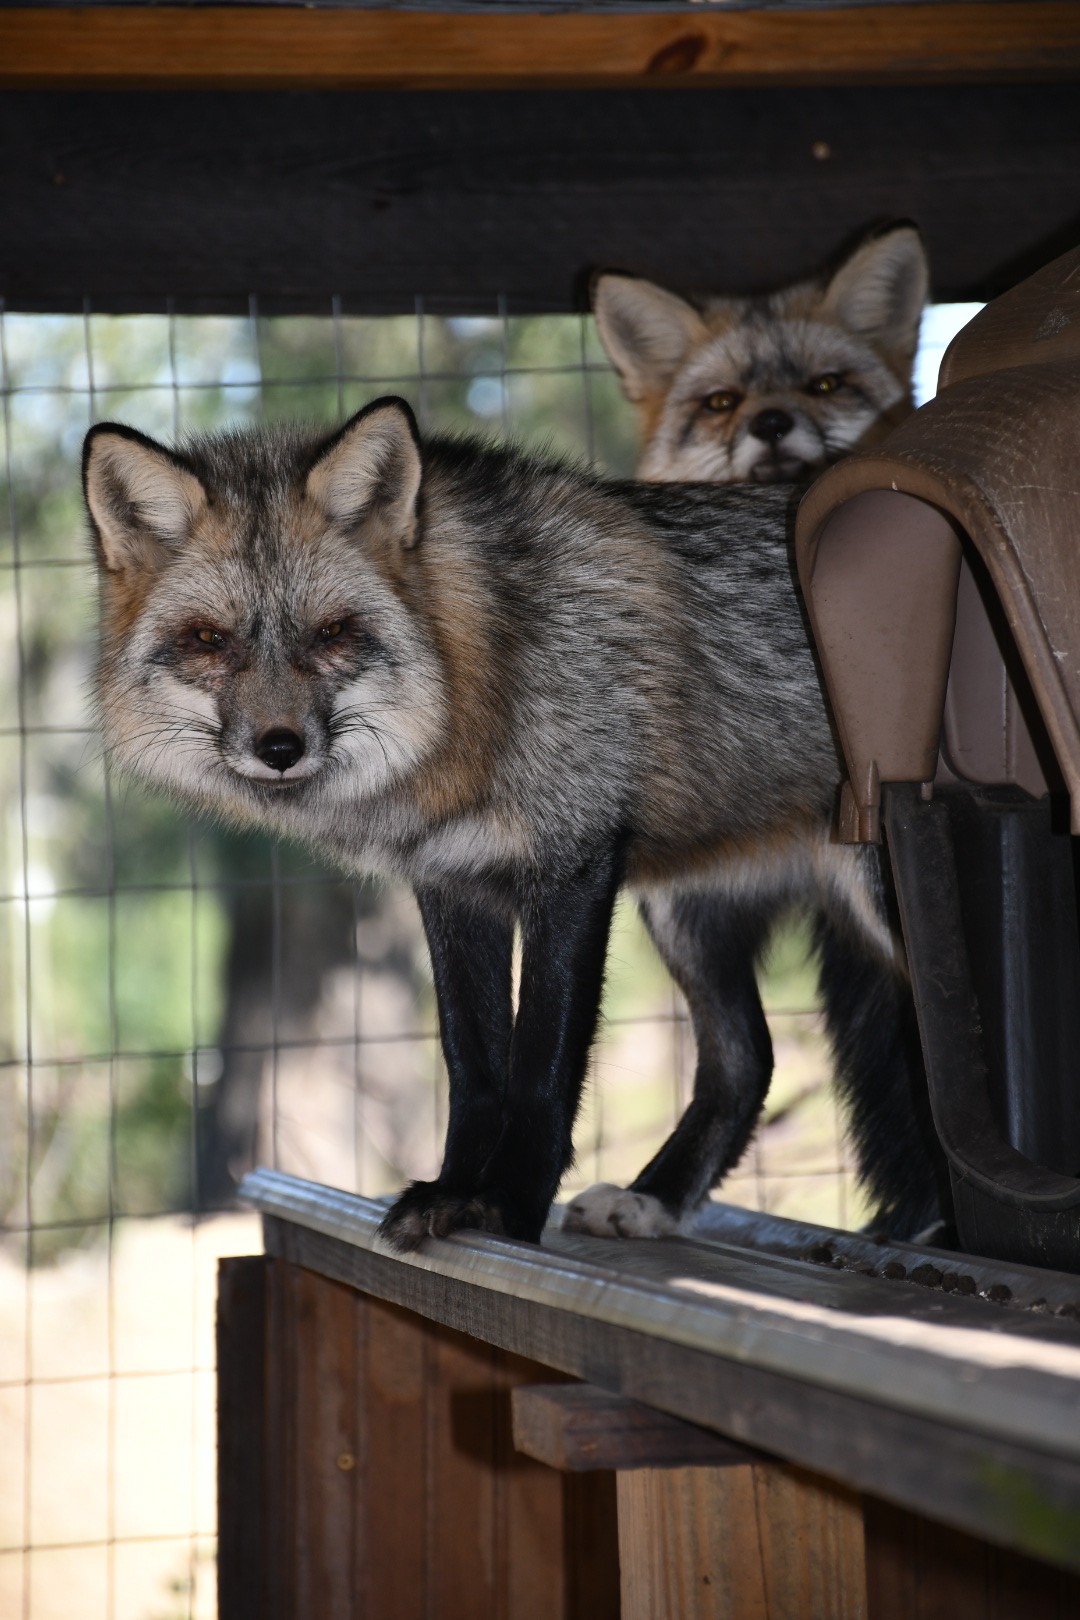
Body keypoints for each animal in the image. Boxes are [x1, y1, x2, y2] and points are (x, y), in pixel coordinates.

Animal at [84, 382, 945, 1250]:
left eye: (332, 633)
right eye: (208, 639)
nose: (280, 748)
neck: (484, 676)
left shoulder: (573, 866)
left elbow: (541, 1065)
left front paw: (511, 1205)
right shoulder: (452, 881)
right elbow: (474, 1068)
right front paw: (456, 1190)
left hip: (878, 901)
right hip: (684, 912)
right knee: (746, 1061)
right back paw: (659, 1198)